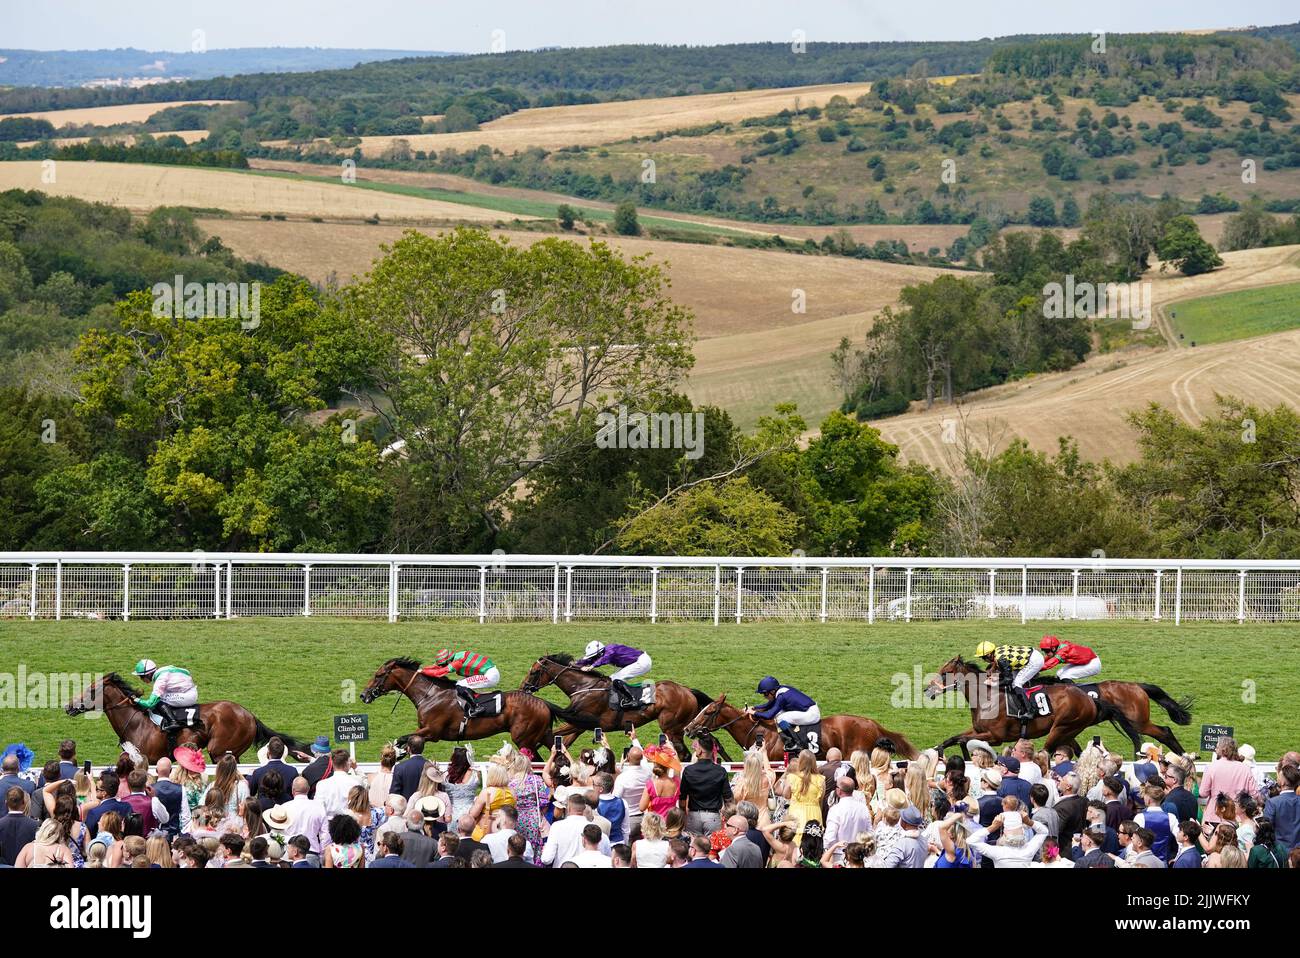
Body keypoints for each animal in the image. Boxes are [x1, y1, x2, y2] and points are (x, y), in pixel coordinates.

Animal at [65, 670, 312, 764]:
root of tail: (249, 714)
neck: (136, 723)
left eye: (92, 690)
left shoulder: (151, 760)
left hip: (219, 750)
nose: (69, 706)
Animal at [358, 657, 577, 753]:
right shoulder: (423, 732)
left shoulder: (432, 732)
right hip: (543, 735)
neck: (430, 695)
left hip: (524, 739)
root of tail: (543, 703)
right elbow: (405, 742)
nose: (363, 695)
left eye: (378, 675)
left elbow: (403, 738)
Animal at [517, 655, 712, 759]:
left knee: (684, 754)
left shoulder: (580, 721)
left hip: (671, 728)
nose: (523, 688)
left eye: (534, 672)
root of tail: (686, 690)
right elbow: (562, 742)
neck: (584, 687)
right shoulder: (579, 725)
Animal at [925, 655, 1138, 759]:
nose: (927, 690)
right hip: (1069, 732)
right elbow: (954, 739)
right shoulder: (978, 730)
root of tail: (1089, 699)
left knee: (1047, 752)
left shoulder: (995, 737)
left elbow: (962, 740)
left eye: (944, 673)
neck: (987, 697)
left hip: (1062, 728)